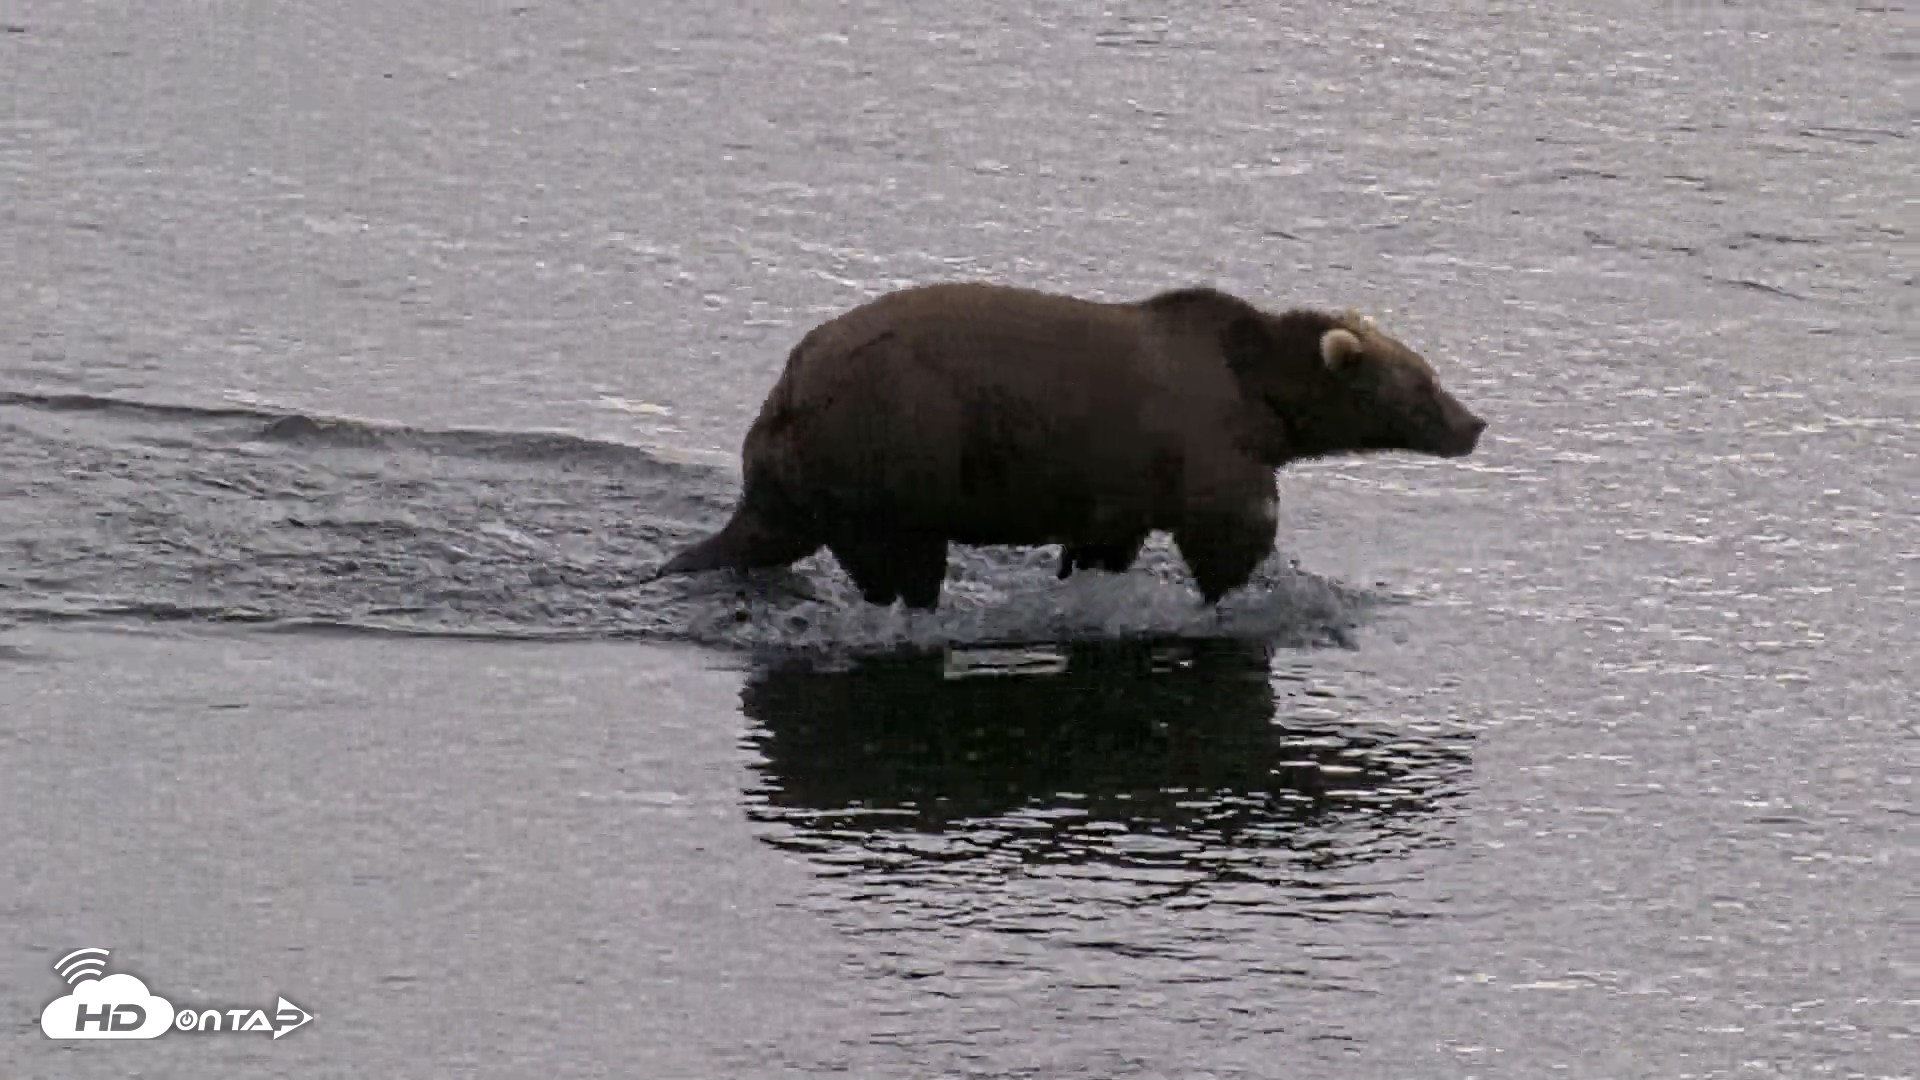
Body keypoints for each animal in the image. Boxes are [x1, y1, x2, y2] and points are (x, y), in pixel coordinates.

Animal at [654, 281, 1487, 610]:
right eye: (1422, 385)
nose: (1474, 423)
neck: (1266, 403)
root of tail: (791, 390)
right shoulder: (1203, 440)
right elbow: (1230, 529)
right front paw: (1235, 589)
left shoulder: (1122, 479)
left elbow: (1104, 542)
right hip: (892, 446)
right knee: (902, 560)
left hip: (801, 469)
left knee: (765, 531)